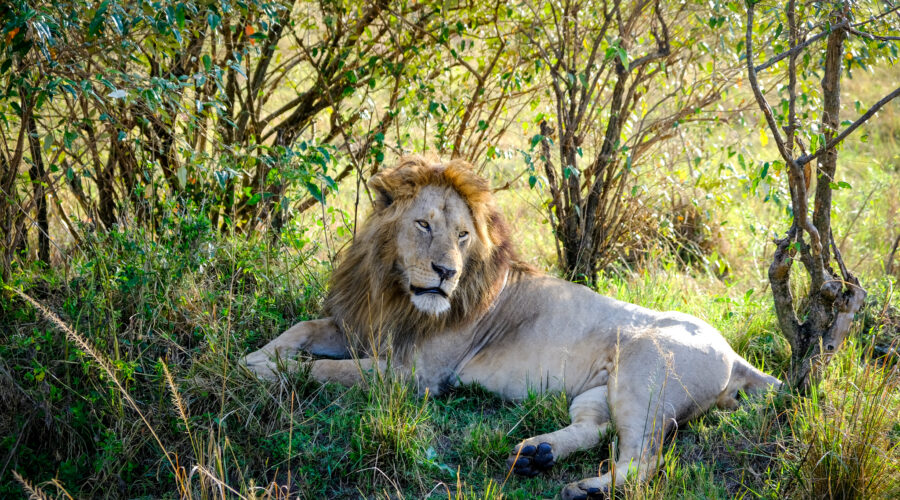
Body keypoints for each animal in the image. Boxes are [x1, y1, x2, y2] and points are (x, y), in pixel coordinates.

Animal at [243, 157, 784, 500]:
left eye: (463, 235)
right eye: (424, 225)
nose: (446, 272)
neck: (393, 288)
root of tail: (734, 352)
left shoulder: (414, 376)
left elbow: (324, 373)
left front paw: (277, 373)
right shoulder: (359, 326)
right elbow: (300, 328)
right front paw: (257, 358)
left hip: (642, 372)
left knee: (646, 457)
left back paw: (585, 488)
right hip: (600, 389)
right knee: (598, 427)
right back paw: (536, 454)